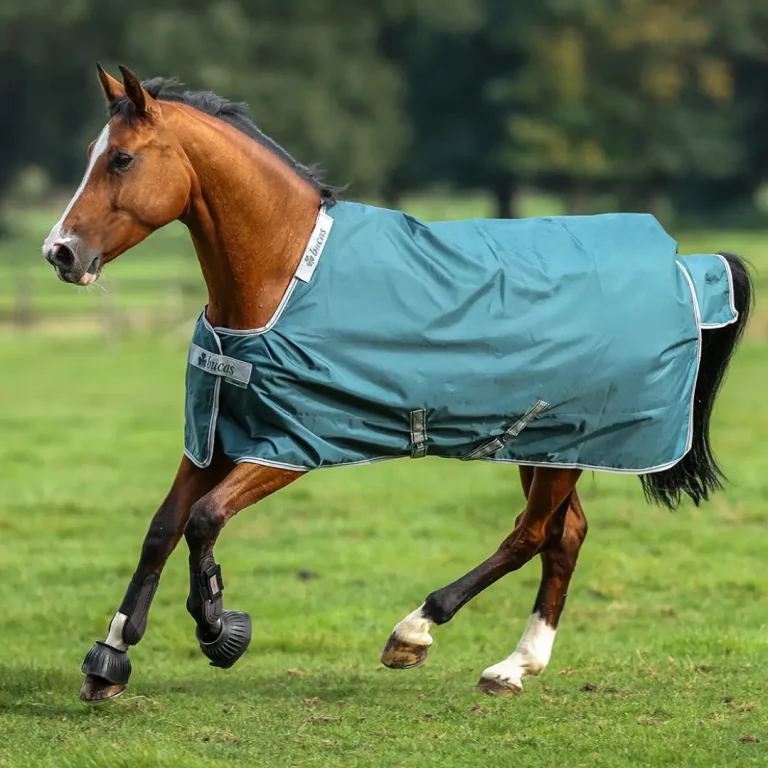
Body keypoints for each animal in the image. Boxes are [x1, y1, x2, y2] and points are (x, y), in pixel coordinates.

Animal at [43, 65, 752, 704]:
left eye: (123, 159)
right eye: (91, 156)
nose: (60, 252)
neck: (284, 272)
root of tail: (685, 264)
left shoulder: (288, 448)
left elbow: (204, 520)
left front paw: (219, 629)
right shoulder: (215, 434)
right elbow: (163, 529)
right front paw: (109, 657)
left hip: (566, 439)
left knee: (530, 534)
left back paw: (417, 630)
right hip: (544, 443)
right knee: (564, 534)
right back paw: (514, 667)